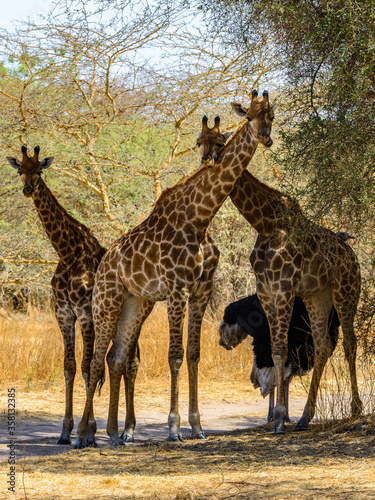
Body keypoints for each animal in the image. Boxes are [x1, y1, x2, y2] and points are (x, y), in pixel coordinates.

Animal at [6, 146, 106, 444]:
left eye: (39, 170)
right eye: (20, 169)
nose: (28, 189)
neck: (68, 252)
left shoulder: (84, 313)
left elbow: (87, 366)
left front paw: (87, 433)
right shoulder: (63, 313)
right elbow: (70, 366)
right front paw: (65, 431)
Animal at [72, 88, 274, 448]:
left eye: (272, 114)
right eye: (249, 116)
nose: (264, 136)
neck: (200, 219)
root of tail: (104, 262)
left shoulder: (201, 291)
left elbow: (193, 354)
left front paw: (197, 426)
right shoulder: (177, 289)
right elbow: (175, 354)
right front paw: (174, 428)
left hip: (136, 303)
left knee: (116, 358)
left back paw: (114, 433)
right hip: (106, 301)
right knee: (95, 361)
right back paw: (84, 434)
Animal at [195, 114, 362, 434]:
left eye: (220, 140)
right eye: (198, 141)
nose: (207, 162)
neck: (265, 223)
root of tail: (352, 255)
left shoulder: (283, 289)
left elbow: (282, 355)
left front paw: (280, 418)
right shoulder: (266, 291)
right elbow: (275, 353)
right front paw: (280, 417)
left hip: (346, 292)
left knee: (350, 344)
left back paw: (356, 410)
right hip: (317, 297)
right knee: (323, 346)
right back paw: (306, 416)